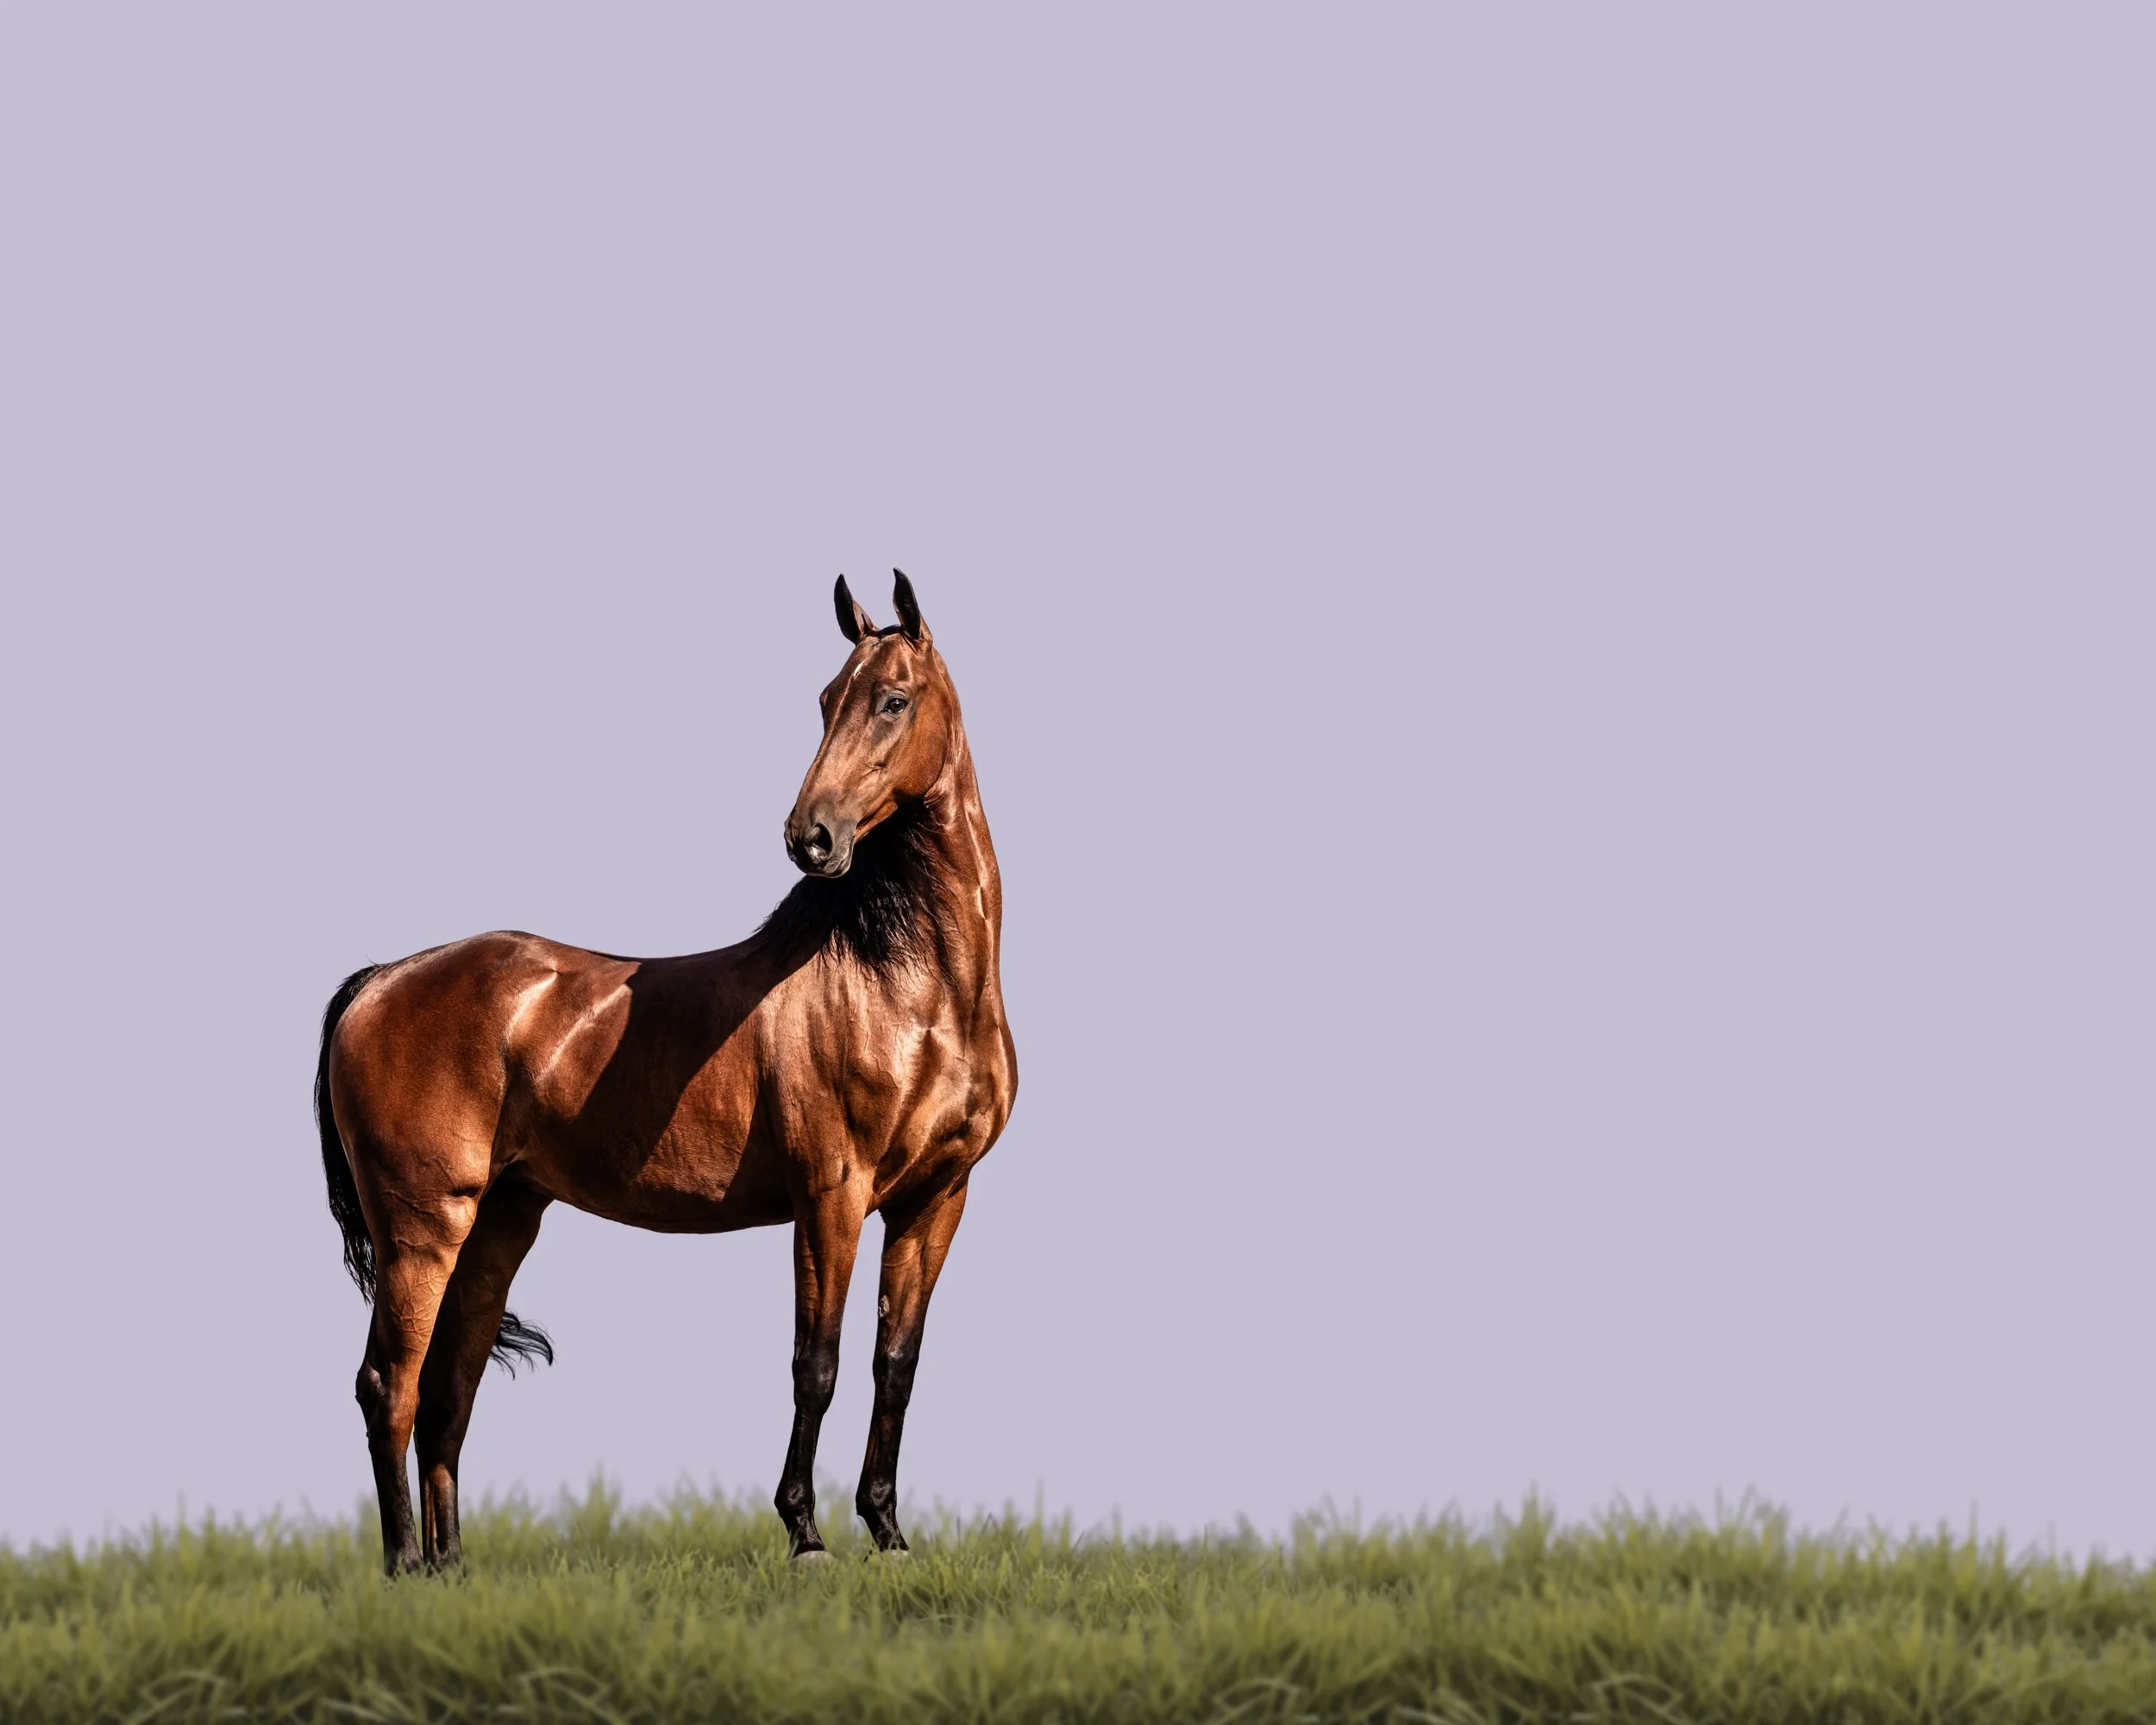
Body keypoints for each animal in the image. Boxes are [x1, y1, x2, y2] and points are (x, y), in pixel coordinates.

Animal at [313, 571, 1017, 1574]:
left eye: (892, 699)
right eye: (822, 699)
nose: (810, 836)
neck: (910, 986)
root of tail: (380, 979)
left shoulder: (937, 1197)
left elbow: (896, 1364)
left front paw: (888, 1532)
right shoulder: (832, 1192)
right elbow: (817, 1362)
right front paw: (805, 1533)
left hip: (497, 1225)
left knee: (448, 1391)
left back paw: (452, 1569)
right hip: (423, 1227)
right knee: (389, 1383)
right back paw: (405, 1565)